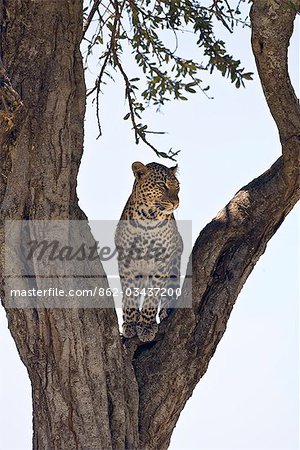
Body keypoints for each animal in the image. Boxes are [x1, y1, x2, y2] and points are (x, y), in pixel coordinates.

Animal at [115, 161, 183, 342]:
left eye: (177, 187)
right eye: (162, 185)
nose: (176, 203)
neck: (148, 220)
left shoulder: (162, 264)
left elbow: (152, 297)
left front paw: (146, 327)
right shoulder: (126, 263)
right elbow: (130, 296)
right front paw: (130, 324)